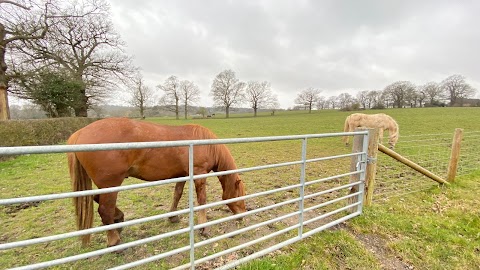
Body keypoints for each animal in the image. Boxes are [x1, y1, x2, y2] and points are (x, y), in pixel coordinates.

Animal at [66, 117, 248, 247]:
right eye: (239, 196)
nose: (242, 217)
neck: (205, 144)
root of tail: (79, 133)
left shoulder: (183, 175)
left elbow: (177, 195)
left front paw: (173, 217)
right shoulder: (198, 174)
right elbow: (201, 200)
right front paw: (204, 228)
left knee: (98, 200)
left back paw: (119, 222)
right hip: (111, 184)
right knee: (105, 210)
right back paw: (114, 241)